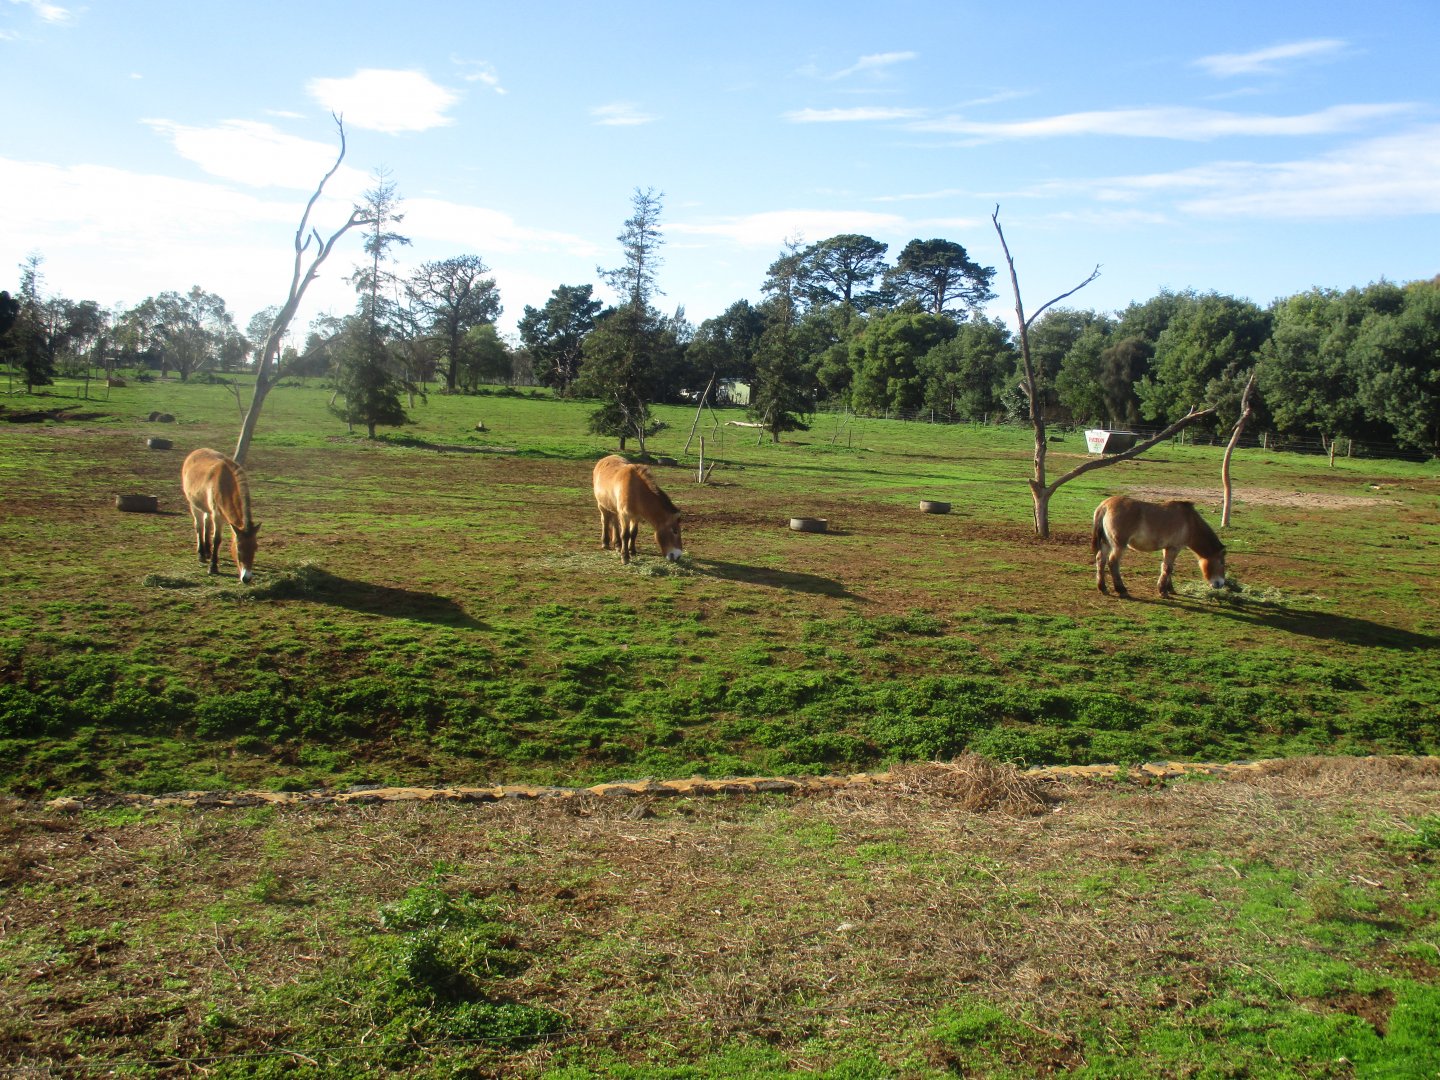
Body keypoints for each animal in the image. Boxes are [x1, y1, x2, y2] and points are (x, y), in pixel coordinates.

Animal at [181, 448, 260, 583]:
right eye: (239, 549)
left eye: (255, 548)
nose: (247, 578)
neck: (226, 483)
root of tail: (194, 452)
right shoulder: (217, 516)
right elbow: (217, 539)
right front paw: (213, 567)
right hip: (194, 505)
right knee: (199, 526)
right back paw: (201, 554)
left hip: (207, 509)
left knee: (206, 524)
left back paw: (207, 551)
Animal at [1092, 495, 1226, 598]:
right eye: (1221, 562)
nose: (1220, 583)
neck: (1190, 522)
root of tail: (1105, 505)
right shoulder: (1174, 548)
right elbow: (1168, 568)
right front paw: (1163, 591)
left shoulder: (1167, 548)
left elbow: (1167, 567)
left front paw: (1169, 588)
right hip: (1119, 545)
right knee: (1113, 563)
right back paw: (1121, 590)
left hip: (1106, 543)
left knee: (1101, 560)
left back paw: (1102, 588)